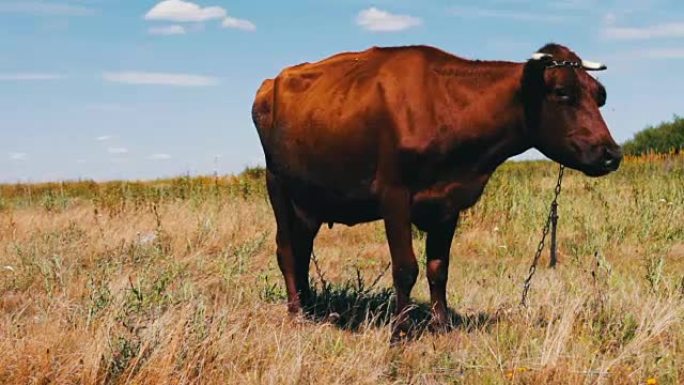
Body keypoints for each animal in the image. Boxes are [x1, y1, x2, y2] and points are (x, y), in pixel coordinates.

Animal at [254, 42, 624, 342]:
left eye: (599, 95)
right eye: (561, 92)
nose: (611, 153)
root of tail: (272, 82)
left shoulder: (448, 202)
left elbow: (438, 268)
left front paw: (442, 327)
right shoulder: (394, 195)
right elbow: (405, 268)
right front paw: (400, 332)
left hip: (310, 201)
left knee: (302, 250)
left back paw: (311, 307)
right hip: (278, 186)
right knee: (286, 250)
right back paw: (296, 313)